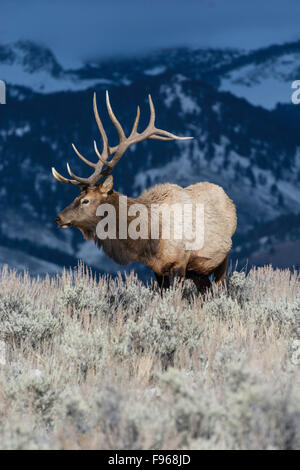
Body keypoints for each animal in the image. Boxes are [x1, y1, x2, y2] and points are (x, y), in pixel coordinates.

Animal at [53, 90, 237, 292]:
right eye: (77, 196)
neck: (149, 239)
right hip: (199, 272)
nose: (58, 218)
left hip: (222, 259)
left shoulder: (181, 261)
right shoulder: (157, 269)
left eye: (85, 200)